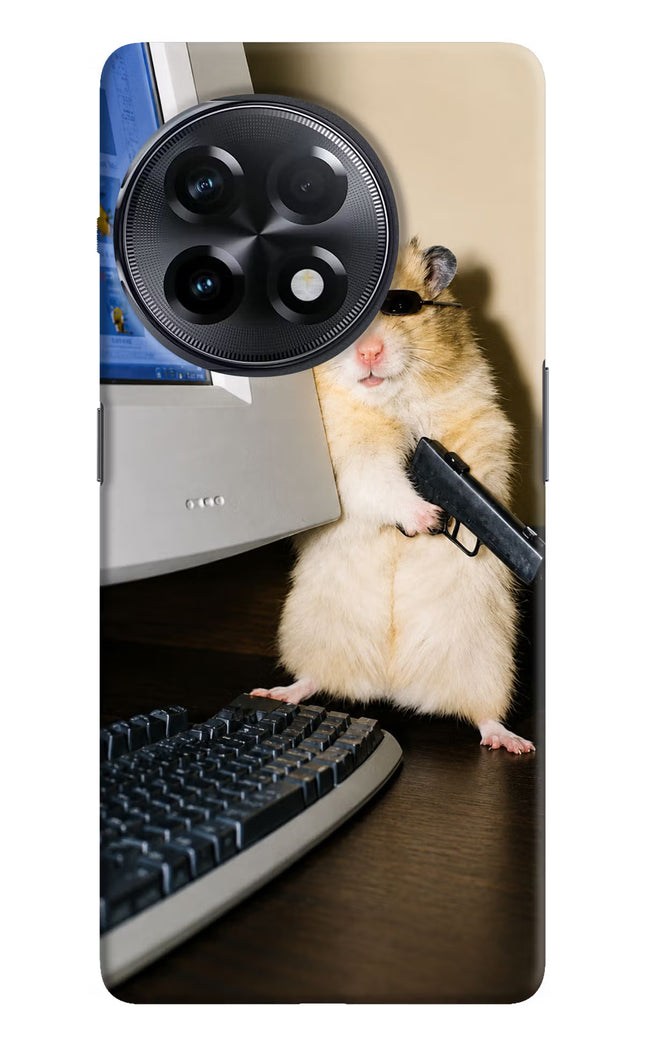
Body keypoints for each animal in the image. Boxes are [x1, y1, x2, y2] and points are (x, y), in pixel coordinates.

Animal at [252, 239, 534, 754]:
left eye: (401, 306)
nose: (369, 352)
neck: (391, 400)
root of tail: (393, 686)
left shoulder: (482, 425)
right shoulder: (349, 458)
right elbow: (381, 481)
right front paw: (428, 518)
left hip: (488, 660)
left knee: (483, 714)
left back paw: (512, 742)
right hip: (311, 632)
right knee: (313, 678)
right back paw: (276, 692)